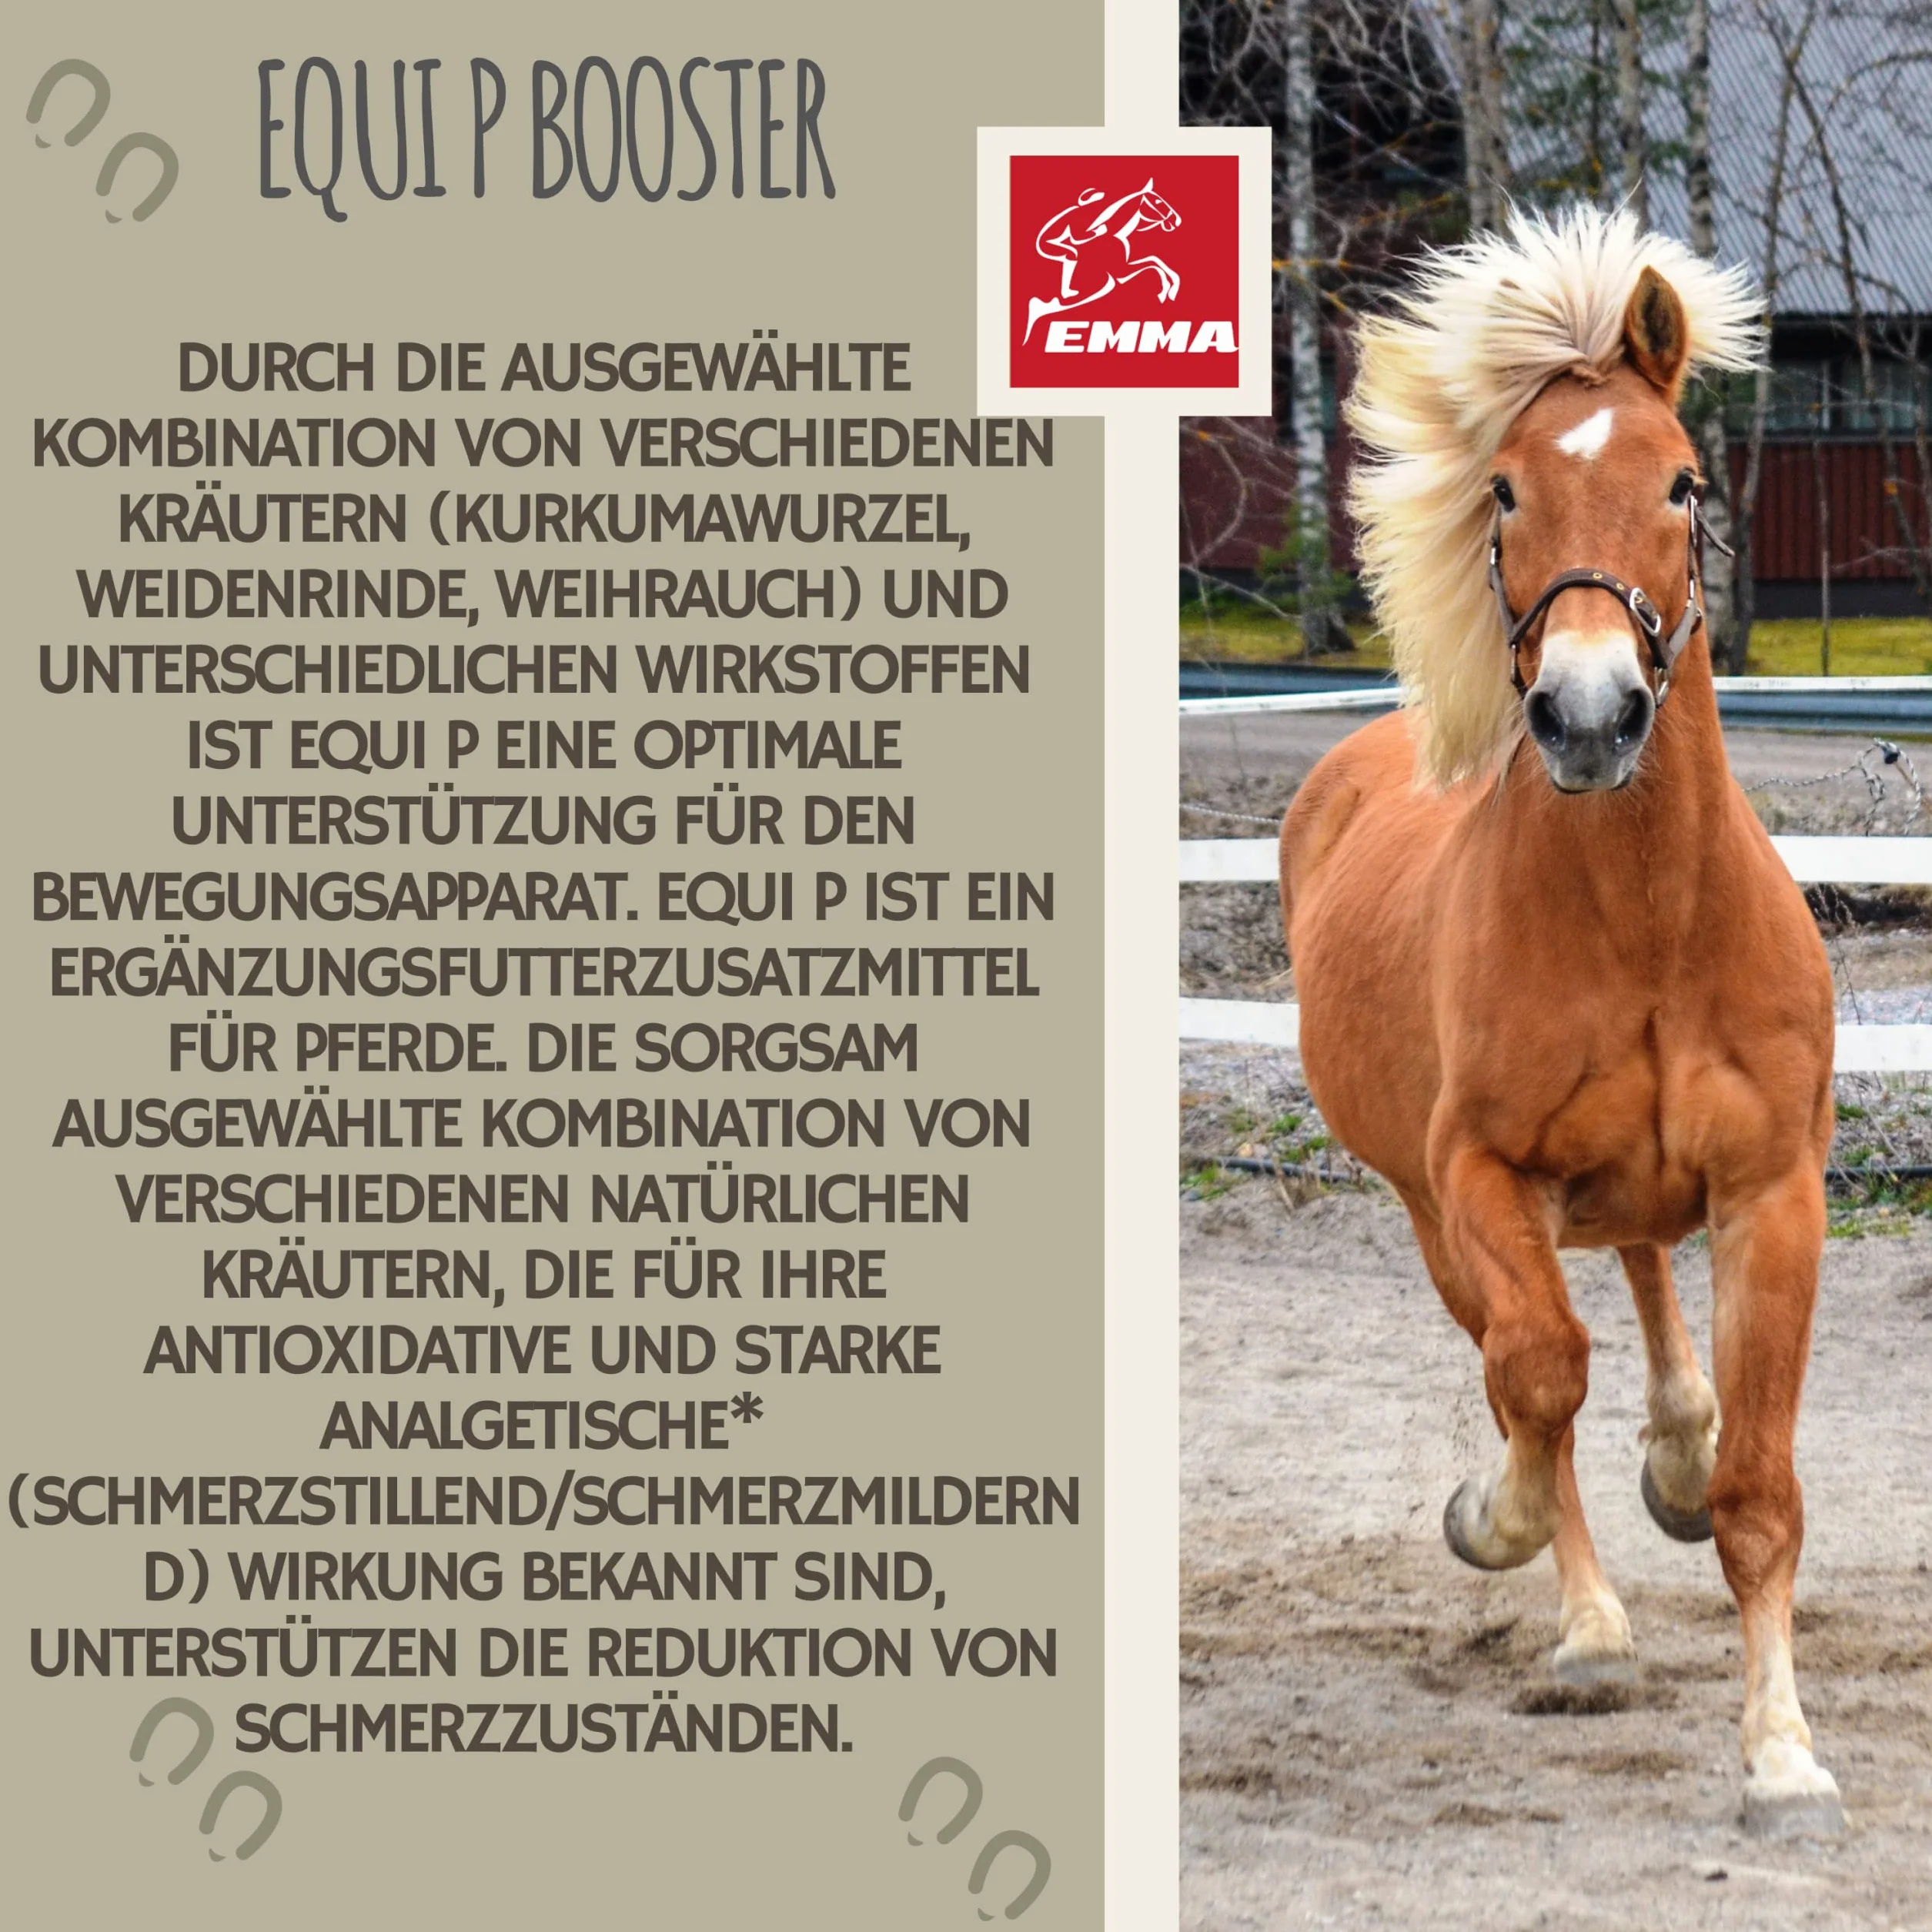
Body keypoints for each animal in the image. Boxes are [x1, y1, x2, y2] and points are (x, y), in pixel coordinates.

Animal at [1278, 206, 1843, 1838]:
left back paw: (1678, 1445)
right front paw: (1497, 1520)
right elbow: (1537, 1377)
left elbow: (1760, 1490)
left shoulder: (1773, 1193)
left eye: (1683, 479)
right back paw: (1585, 1617)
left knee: (1645, 1284)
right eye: (1508, 486)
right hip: (1432, 1213)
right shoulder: (1482, 1179)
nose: (1590, 717)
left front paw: (1784, 1755)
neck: (1648, 927)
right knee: (1538, 1357)